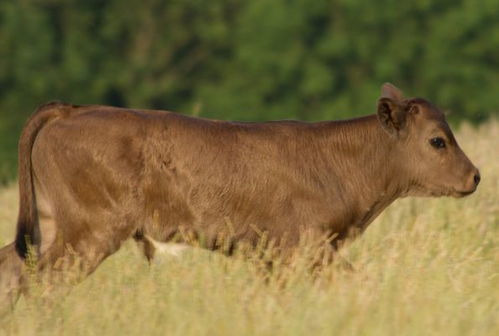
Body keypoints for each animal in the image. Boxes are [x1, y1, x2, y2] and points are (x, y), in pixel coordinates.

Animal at [0, 83, 480, 308]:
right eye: (438, 140)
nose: (475, 176)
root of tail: (70, 109)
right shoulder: (307, 248)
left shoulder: (275, 258)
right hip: (89, 232)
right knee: (40, 281)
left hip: (51, 224)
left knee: (14, 266)